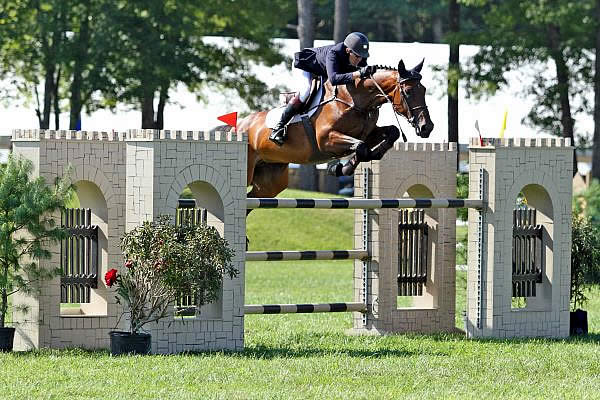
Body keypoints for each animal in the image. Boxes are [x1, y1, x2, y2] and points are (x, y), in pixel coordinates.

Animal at [240, 58, 436, 203]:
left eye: (424, 90)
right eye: (408, 91)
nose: (427, 127)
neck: (354, 99)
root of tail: (241, 124)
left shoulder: (367, 133)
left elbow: (390, 133)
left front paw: (368, 157)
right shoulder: (326, 140)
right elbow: (361, 147)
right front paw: (339, 168)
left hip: (271, 179)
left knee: (253, 199)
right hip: (250, 171)